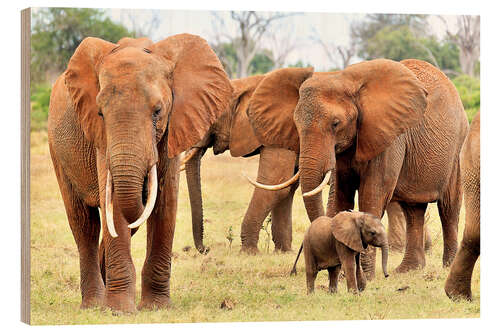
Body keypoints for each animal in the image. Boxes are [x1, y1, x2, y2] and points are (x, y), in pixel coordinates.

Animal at [48, 34, 232, 312]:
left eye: (158, 111)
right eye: (100, 113)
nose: (207, 250)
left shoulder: (172, 129)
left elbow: (165, 205)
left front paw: (156, 307)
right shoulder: (102, 139)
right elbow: (114, 204)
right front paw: (119, 311)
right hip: (57, 150)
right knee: (85, 224)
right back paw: (94, 305)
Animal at [181, 72, 300, 253]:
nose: (206, 249)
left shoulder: (279, 131)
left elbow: (274, 184)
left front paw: (249, 253)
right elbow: (286, 187)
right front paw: (284, 252)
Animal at [249, 59, 468, 272]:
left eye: (336, 124)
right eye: (296, 124)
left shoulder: (388, 138)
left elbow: (372, 194)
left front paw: (366, 274)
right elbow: (340, 194)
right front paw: (343, 272)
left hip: (456, 147)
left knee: (448, 207)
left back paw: (447, 266)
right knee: (413, 209)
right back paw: (409, 270)